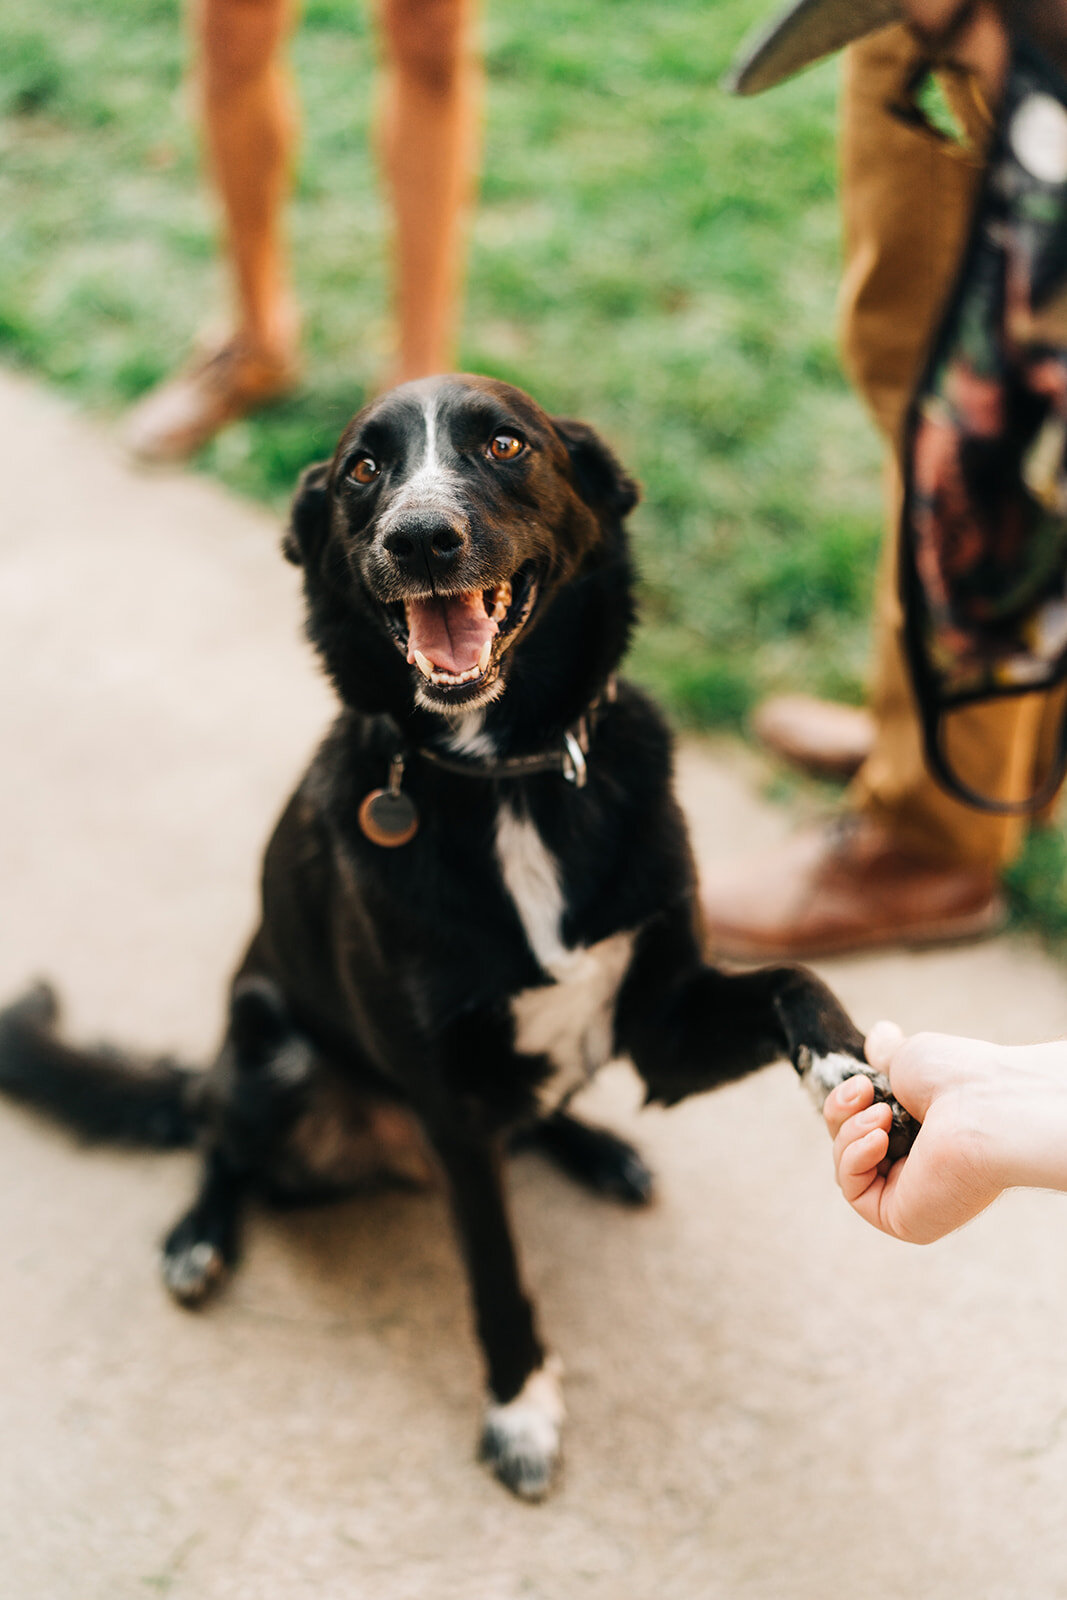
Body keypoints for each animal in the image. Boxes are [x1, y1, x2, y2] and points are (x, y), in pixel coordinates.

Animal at [0, 374, 902, 1497]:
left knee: (541, 1103)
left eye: (505, 444)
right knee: (215, 1126)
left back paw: (600, 1148)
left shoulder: (661, 1022)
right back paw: (199, 1234)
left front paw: (852, 1079)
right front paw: (519, 1407)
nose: (421, 537)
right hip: (272, 1049)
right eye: (361, 469)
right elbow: (496, 1272)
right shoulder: (450, 1107)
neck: (507, 774)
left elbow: (797, 979)